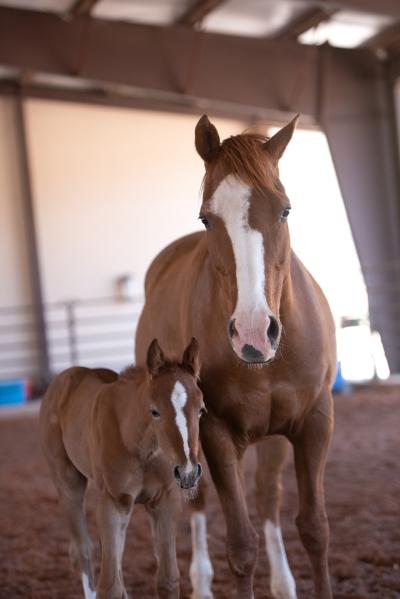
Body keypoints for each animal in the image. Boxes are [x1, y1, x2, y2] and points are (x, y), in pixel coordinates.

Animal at [39, 340, 206, 599]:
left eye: (201, 409)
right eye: (155, 411)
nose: (188, 471)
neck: (138, 443)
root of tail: (63, 378)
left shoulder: (164, 501)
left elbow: (167, 579)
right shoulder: (114, 502)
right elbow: (110, 586)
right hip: (67, 483)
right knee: (83, 551)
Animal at [136, 116, 336, 599]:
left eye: (285, 210)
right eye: (207, 218)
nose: (252, 333)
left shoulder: (315, 422)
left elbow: (314, 529)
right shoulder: (215, 431)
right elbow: (242, 546)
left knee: (267, 496)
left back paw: (283, 583)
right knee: (199, 501)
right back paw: (201, 581)